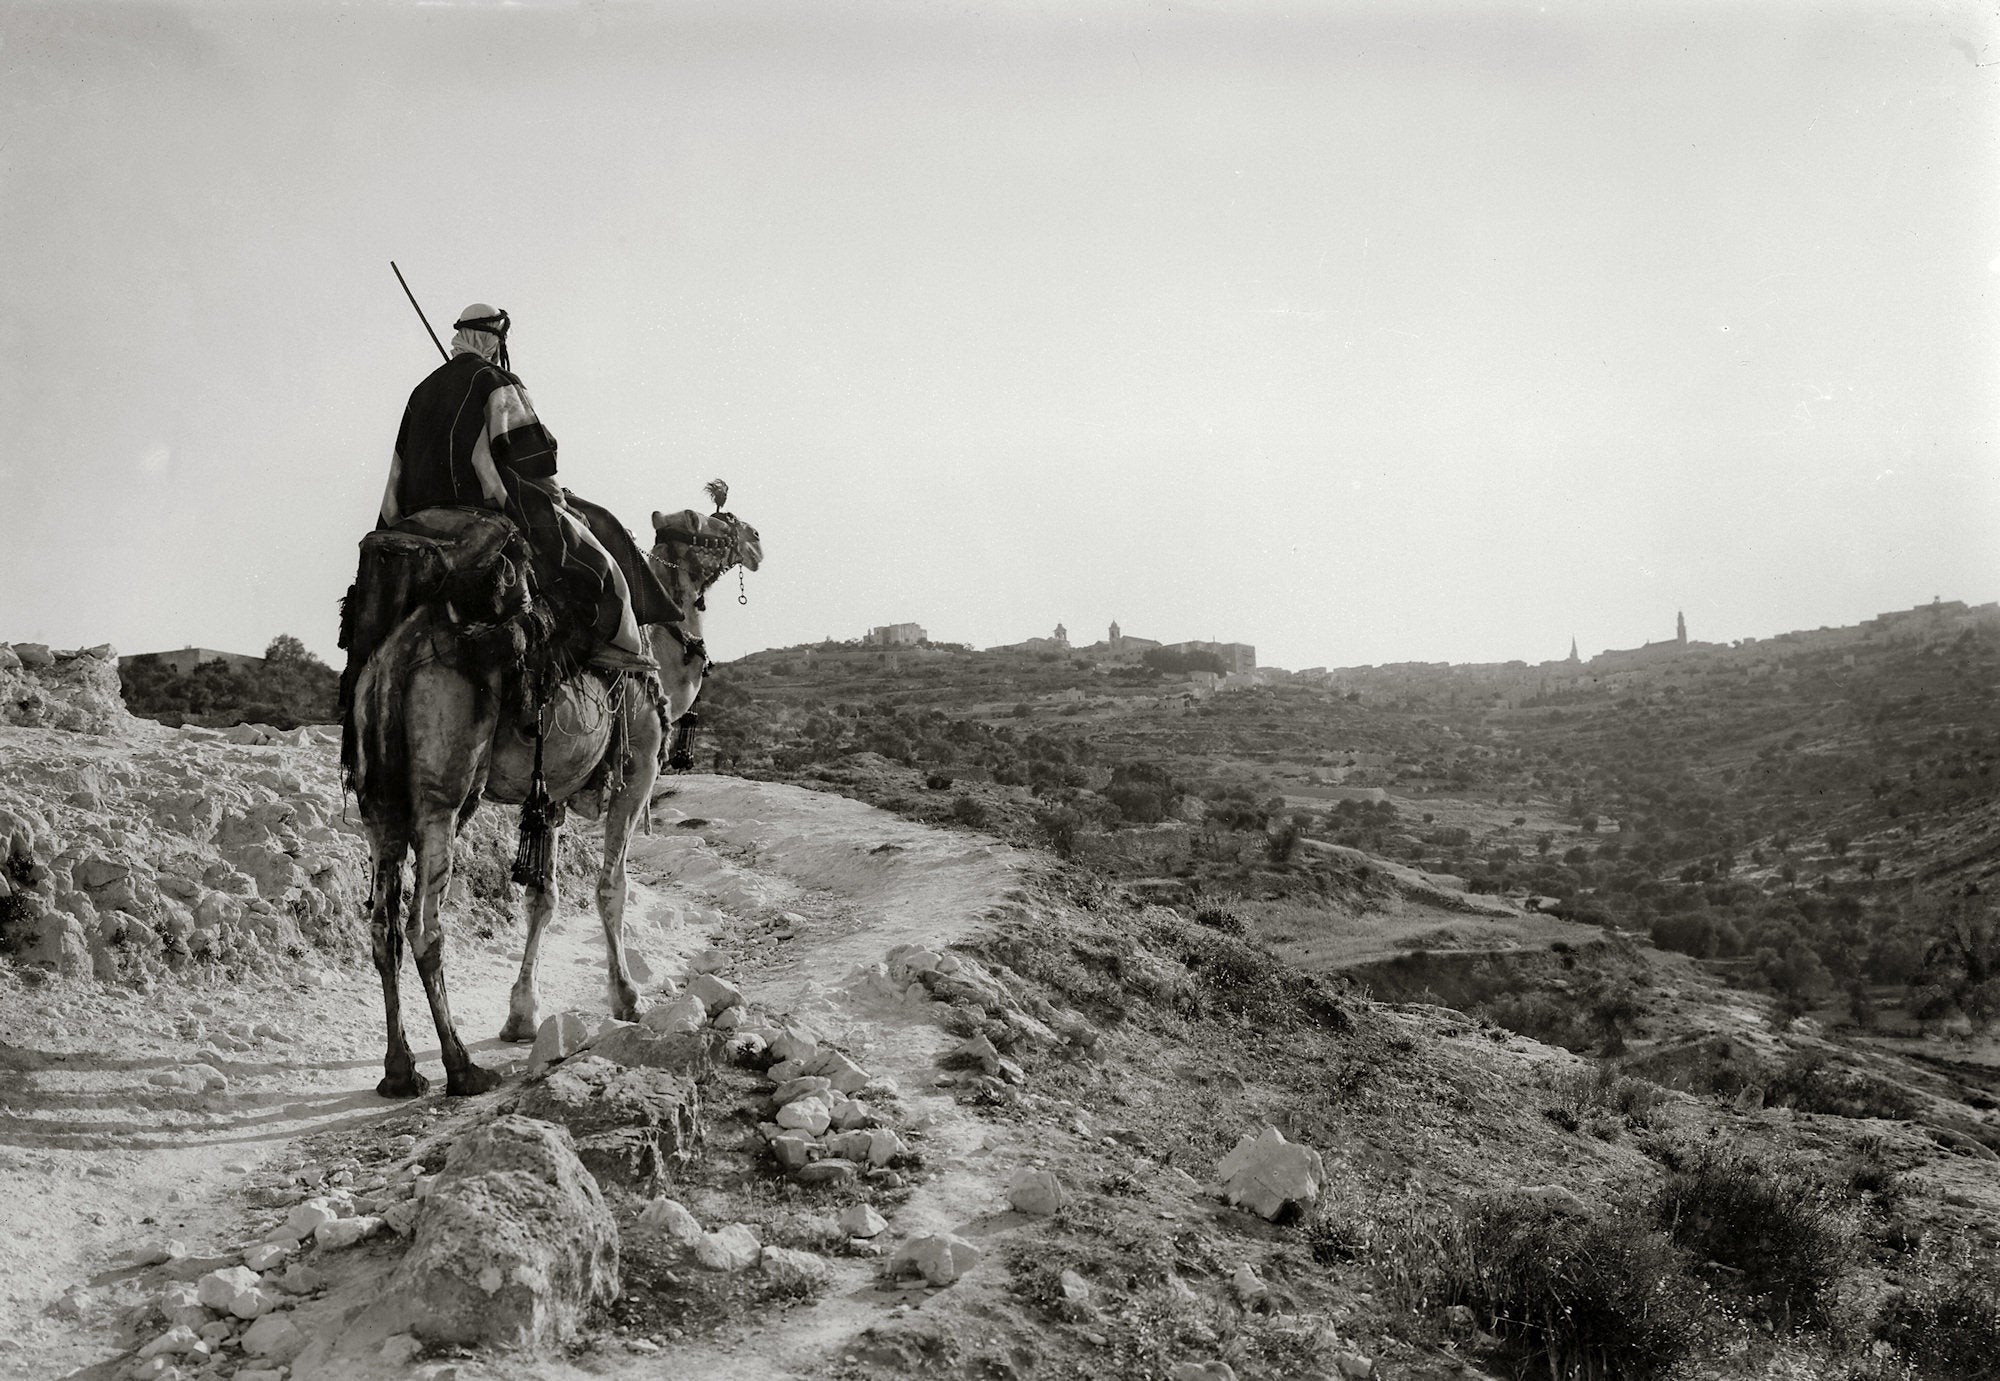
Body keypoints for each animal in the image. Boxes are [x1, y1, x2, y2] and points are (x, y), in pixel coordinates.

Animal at [348, 490, 760, 1088]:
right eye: (706, 521)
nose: (753, 537)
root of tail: (396, 654)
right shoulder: (637, 769)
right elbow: (612, 887)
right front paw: (627, 998)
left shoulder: (553, 794)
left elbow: (543, 896)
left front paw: (521, 1016)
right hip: (442, 791)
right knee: (426, 926)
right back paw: (461, 1067)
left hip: (378, 794)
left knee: (383, 927)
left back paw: (401, 1070)